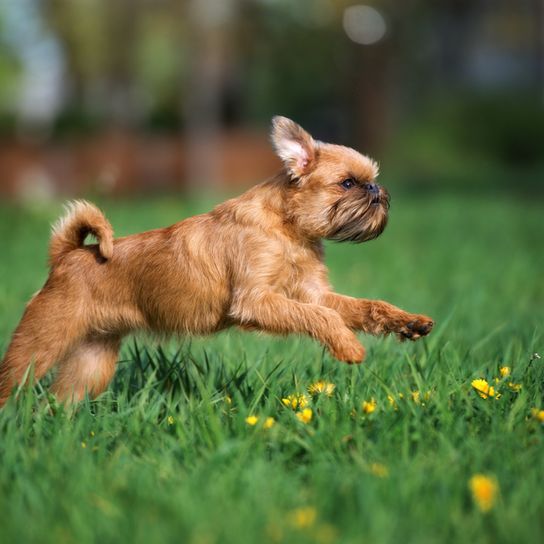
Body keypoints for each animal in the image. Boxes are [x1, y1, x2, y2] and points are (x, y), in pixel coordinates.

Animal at [0, 117, 434, 406]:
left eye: (369, 180)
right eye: (347, 183)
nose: (377, 190)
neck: (287, 229)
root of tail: (67, 256)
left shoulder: (312, 293)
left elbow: (362, 307)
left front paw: (408, 322)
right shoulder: (257, 301)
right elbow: (322, 318)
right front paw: (349, 346)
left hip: (91, 362)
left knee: (58, 402)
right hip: (39, 344)